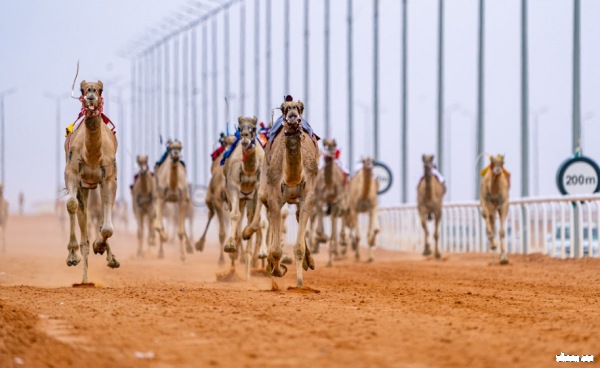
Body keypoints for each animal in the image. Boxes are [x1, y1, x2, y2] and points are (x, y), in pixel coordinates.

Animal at [63, 79, 119, 284]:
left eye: (101, 89)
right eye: (82, 88)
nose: (91, 92)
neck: (93, 156)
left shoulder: (110, 178)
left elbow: (107, 228)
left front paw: (100, 247)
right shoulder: (72, 172)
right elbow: (72, 205)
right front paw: (73, 255)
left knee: (101, 219)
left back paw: (110, 259)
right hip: (84, 185)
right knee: (81, 213)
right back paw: (83, 277)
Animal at [223, 116, 264, 280]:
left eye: (254, 127)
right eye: (239, 128)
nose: (245, 136)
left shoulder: (259, 188)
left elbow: (256, 219)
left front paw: (247, 232)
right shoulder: (232, 186)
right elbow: (235, 215)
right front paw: (230, 245)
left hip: (248, 198)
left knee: (251, 216)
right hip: (238, 198)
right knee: (237, 214)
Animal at [260, 96, 322, 286]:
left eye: (301, 107)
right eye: (283, 108)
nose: (293, 115)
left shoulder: (308, 195)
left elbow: (299, 247)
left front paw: (300, 283)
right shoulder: (274, 196)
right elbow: (276, 249)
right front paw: (277, 270)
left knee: (298, 214)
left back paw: (309, 262)